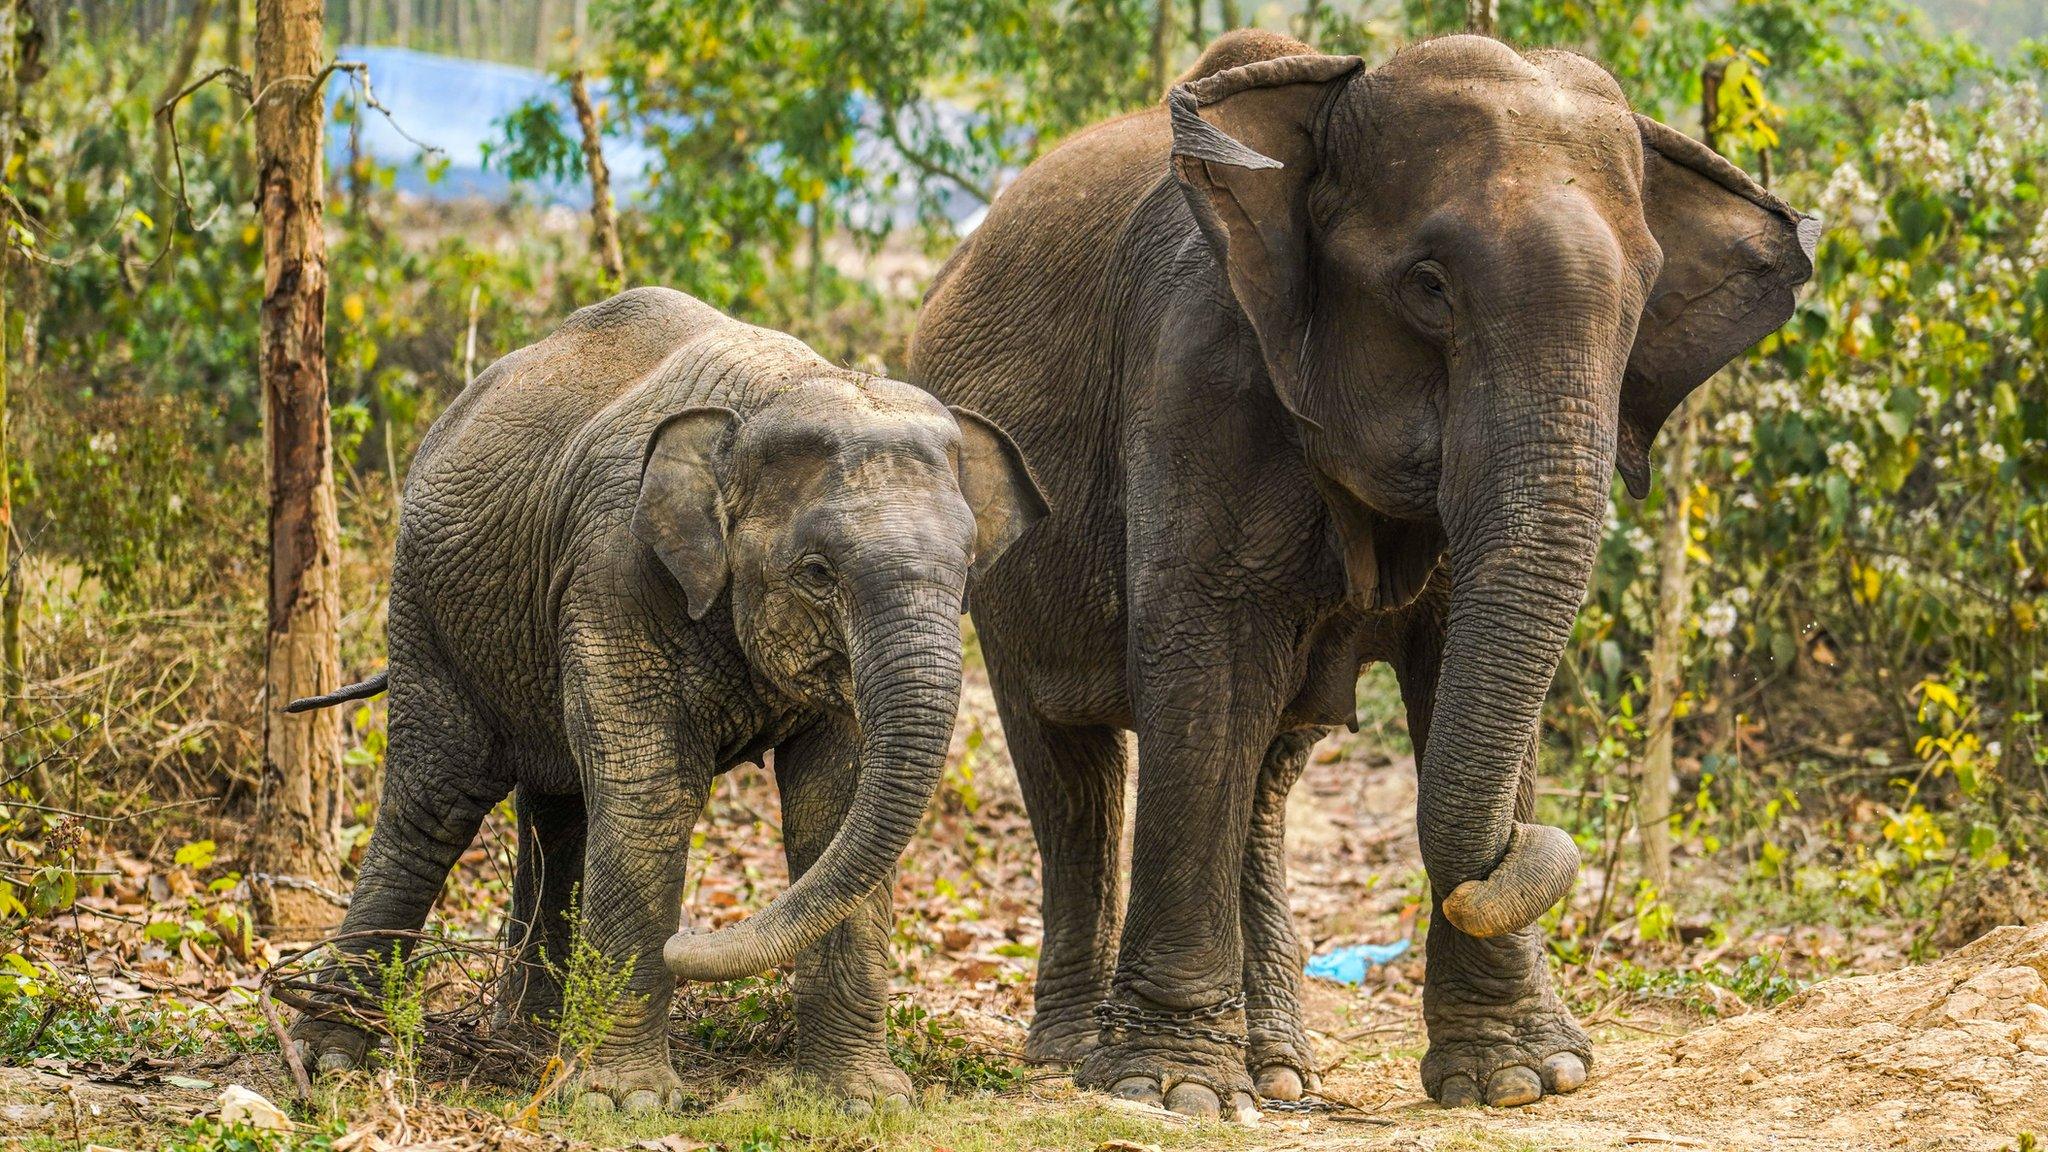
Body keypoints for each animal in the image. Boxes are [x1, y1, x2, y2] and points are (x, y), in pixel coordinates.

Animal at [284, 286, 1040, 1115]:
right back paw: (332, 1058)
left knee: (560, 815)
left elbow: (835, 804)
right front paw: (627, 1103)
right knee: (435, 804)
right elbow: (654, 792)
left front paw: (863, 1101)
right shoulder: (613, 569)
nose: (691, 943)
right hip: (428, 611)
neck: (771, 397)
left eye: (968, 568)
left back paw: (531, 1050)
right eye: (816, 572)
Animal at [909, 31, 1810, 1115]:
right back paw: (1076, 1057)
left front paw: (1520, 1080)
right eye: (1429, 286)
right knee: (1071, 766)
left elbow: (1450, 664)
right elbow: (1207, 673)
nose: (1527, 851)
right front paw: (1171, 1093)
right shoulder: (1194, 373)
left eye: (1641, 301)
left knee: (1262, 779)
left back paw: (1279, 1072)